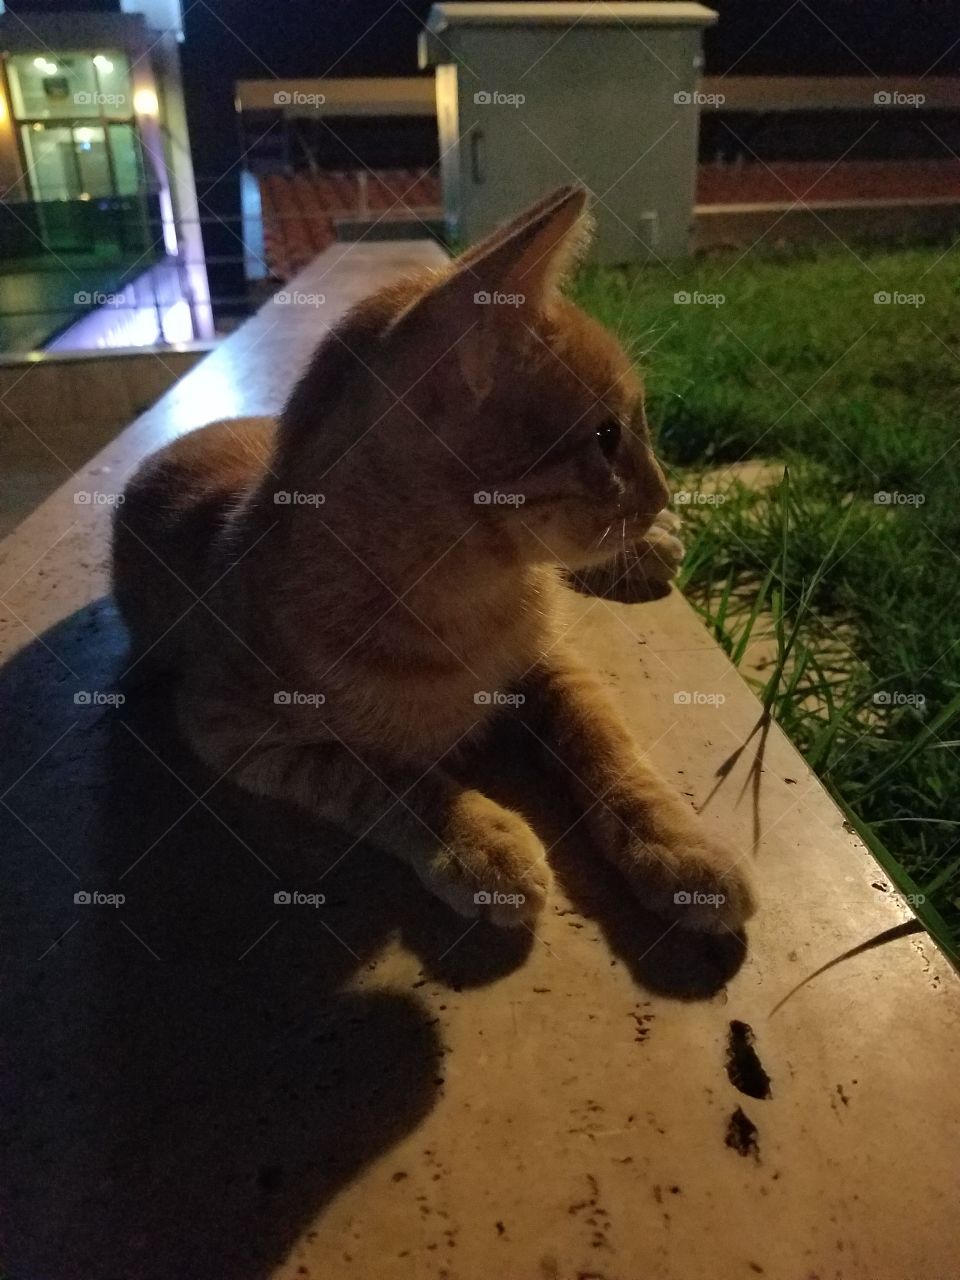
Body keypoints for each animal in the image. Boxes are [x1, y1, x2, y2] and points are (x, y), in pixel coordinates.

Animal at [112, 183, 757, 931]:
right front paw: (476, 836)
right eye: (607, 436)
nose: (661, 492)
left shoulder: (552, 660)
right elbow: (381, 779)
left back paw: (650, 548)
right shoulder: (230, 730)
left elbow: (603, 741)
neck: (468, 598)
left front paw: (676, 842)